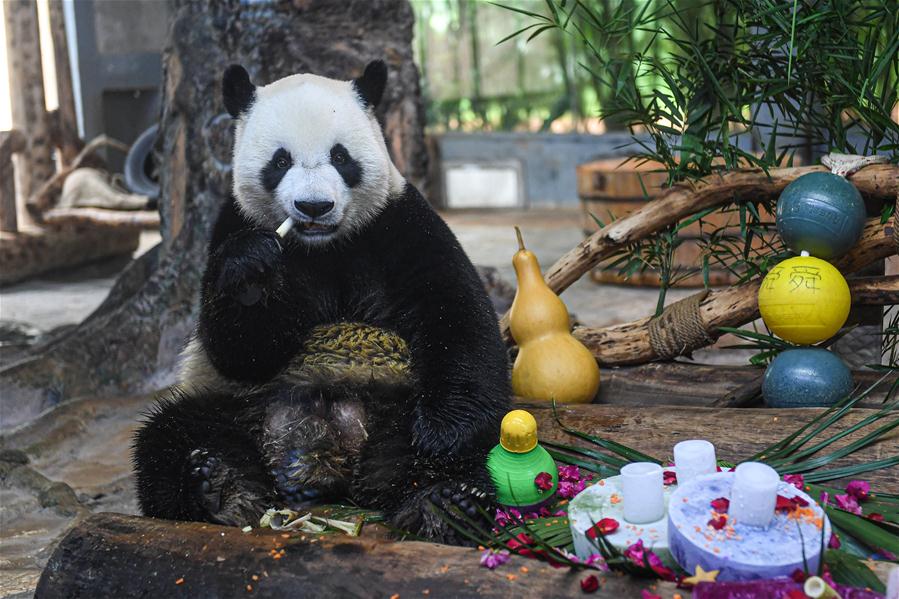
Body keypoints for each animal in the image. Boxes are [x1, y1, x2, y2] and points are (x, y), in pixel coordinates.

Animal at [134, 61, 512, 544]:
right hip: (235, 407)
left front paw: (441, 432)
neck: (324, 246)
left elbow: (455, 311)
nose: (313, 206)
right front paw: (251, 270)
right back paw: (218, 489)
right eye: (280, 161)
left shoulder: (399, 223)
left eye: (341, 157)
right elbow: (240, 350)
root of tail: (326, 453)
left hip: (395, 407)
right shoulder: (233, 224)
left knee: (431, 457)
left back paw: (443, 503)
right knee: (169, 436)